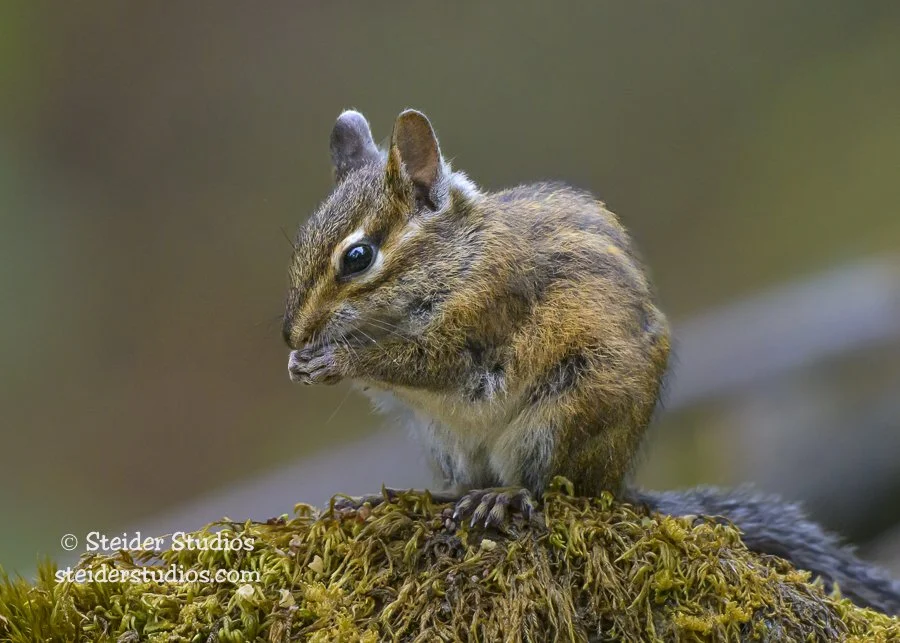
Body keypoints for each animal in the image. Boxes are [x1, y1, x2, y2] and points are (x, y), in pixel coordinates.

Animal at [282, 108, 900, 615]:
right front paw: (301, 363)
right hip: (446, 442)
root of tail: (618, 481)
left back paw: (504, 496)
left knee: (546, 489)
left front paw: (336, 360)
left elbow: (425, 362)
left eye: (358, 257)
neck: (456, 255)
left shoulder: (481, 319)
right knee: (463, 484)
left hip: (559, 417)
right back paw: (424, 495)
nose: (291, 333)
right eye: (302, 240)